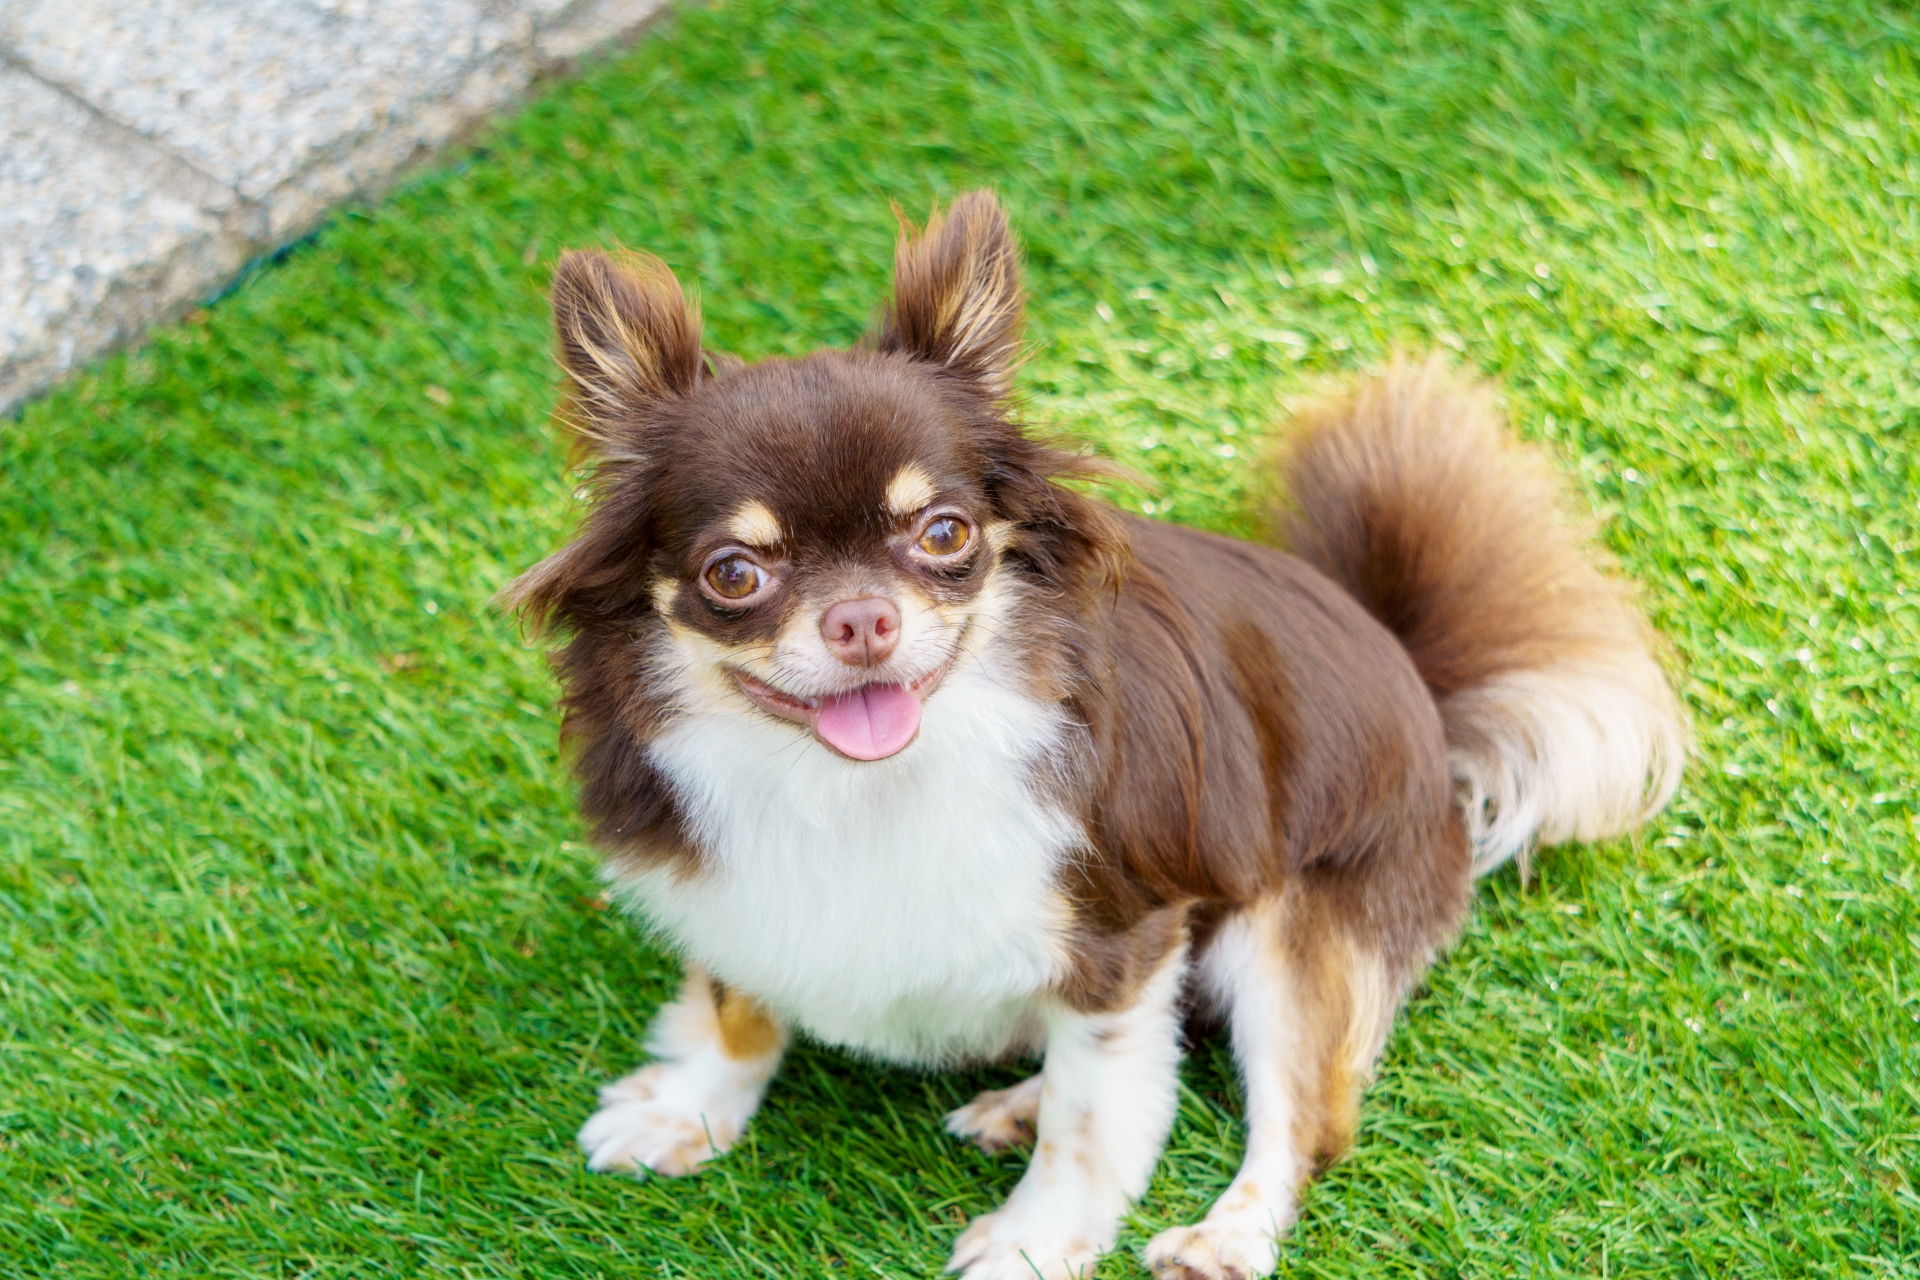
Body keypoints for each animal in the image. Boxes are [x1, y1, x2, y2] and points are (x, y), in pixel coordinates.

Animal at [506, 189, 1681, 1280]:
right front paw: (692, 1106)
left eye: (945, 534)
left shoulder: (1124, 930)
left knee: (1303, 1122)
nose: (862, 619)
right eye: (733, 574)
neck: (857, 784)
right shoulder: (738, 891)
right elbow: (736, 1001)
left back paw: (1221, 1232)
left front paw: (1033, 1240)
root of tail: (1420, 693)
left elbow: (1093, 1116)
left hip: (1294, 929)